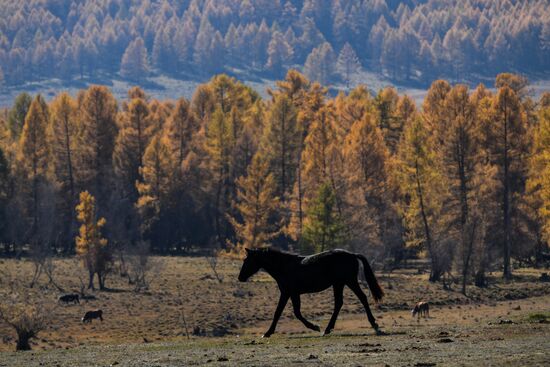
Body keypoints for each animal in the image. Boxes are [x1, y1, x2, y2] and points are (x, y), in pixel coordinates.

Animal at [239, 249, 386, 338]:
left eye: (247, 261)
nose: (240, 278)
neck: (284, 266)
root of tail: (352, 254)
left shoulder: (289, 293)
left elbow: (291, 313)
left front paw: (315, 327)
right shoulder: (289, 294)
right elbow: (282, 312)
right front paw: (268, 333)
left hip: (349, 281)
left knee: (362, 298)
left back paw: (374, 324)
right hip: (339, 284)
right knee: (339, 303)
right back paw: (328, 329)